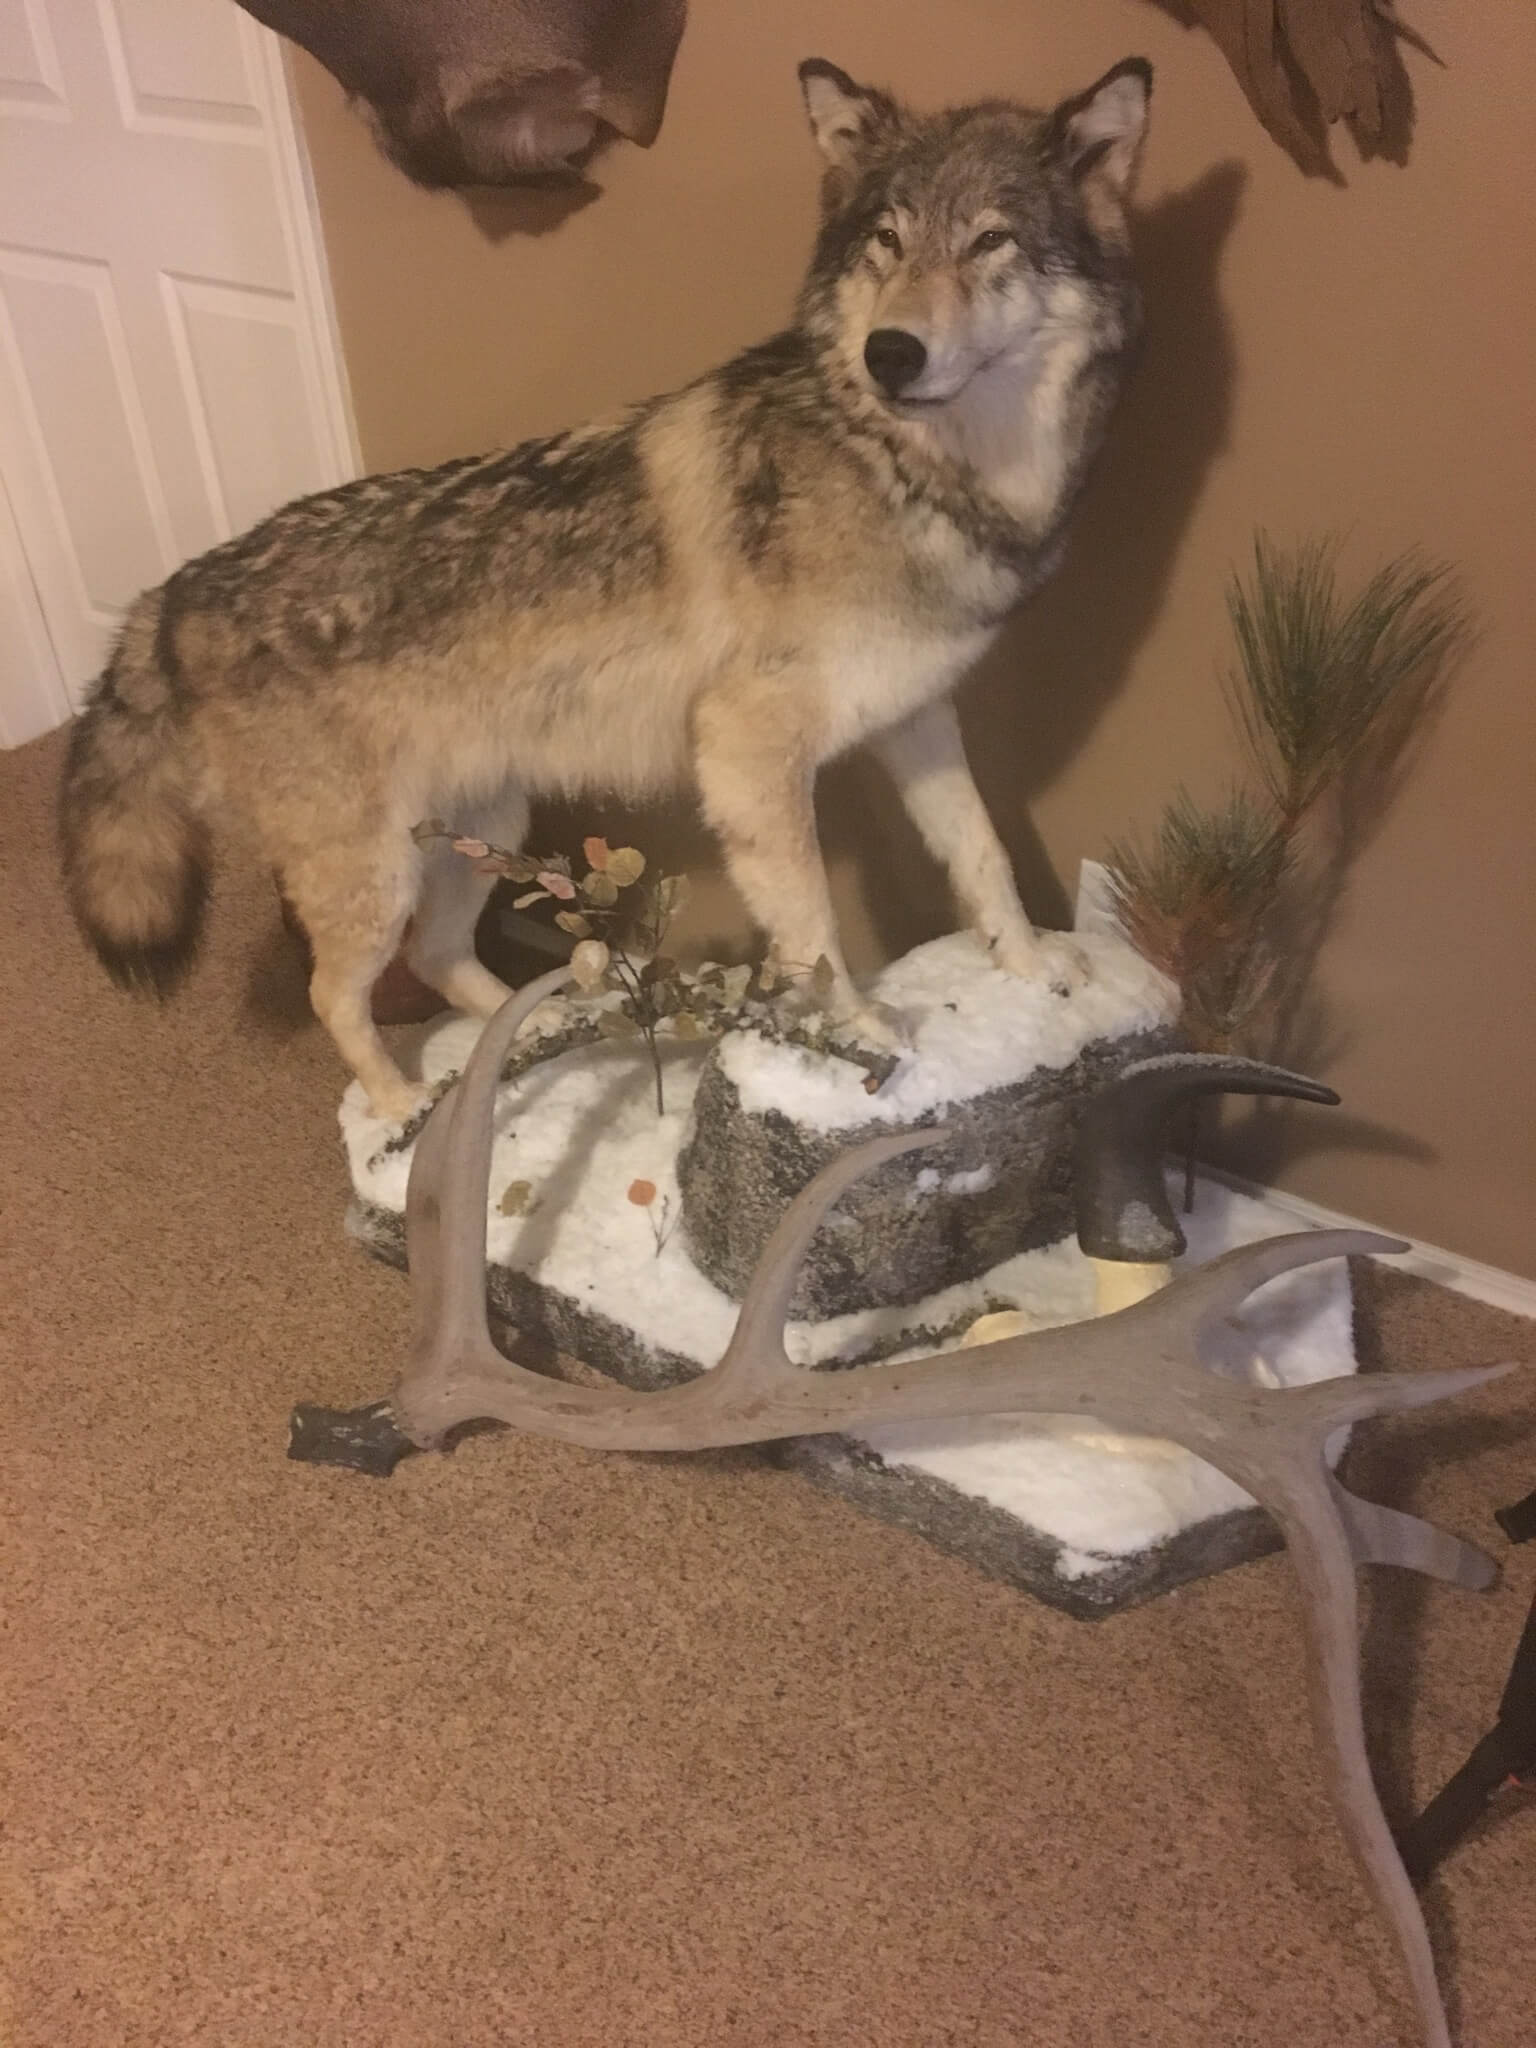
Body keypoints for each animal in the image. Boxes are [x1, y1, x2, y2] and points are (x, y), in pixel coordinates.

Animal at [60, 54, 1153, 1122]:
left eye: (991, 240)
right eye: (888, 240)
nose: (891, 353)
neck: (910, 470)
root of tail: (175, 591)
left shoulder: (917, 719)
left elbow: (985, 855)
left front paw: (1036, 969)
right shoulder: (746, 753)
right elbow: (814, 931)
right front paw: (856, 1041)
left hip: (485, 831)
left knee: (440, 957)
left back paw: (543, 1035)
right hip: (376, 874)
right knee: (338, 992)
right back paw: (404, 1104)